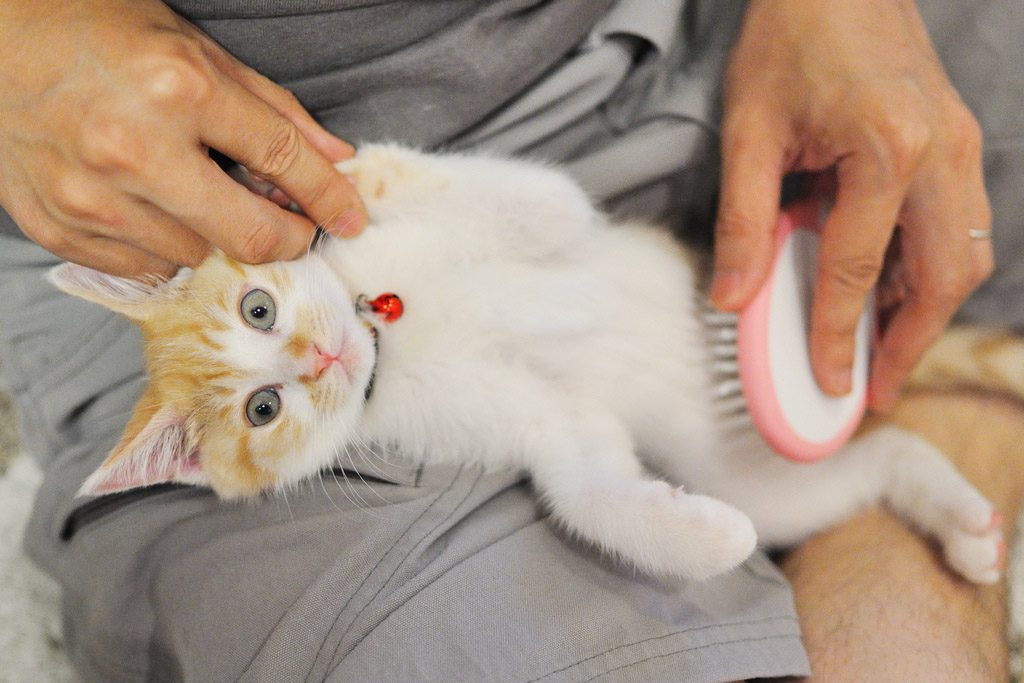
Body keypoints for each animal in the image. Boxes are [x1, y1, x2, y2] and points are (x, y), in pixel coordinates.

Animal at [48, 143, 999, 581]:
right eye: (264, 408)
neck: (395, 334)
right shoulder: (542, 425)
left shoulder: (553, 217)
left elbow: (543, 201)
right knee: (858, 465)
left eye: (259, 306)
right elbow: (588, 492)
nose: (320, 355)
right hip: (743, 457)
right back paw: (966, 524)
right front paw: (709, 538)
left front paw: (363, 172)